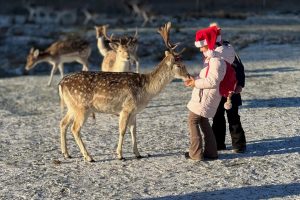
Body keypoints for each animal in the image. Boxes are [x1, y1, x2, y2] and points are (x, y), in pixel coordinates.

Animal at [58, 21, 190, 162]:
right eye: (179, 65)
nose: (188, 76)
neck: (146, 89)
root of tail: (61, 83)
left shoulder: (134, 112)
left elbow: (134, 131)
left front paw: (138, 154)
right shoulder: (126, 108)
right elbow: (122, 131)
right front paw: (120, 155)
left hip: (72, 107)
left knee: (63, 123)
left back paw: (66, 153)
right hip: (82, 107)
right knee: (75, 129)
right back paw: (88, 157)